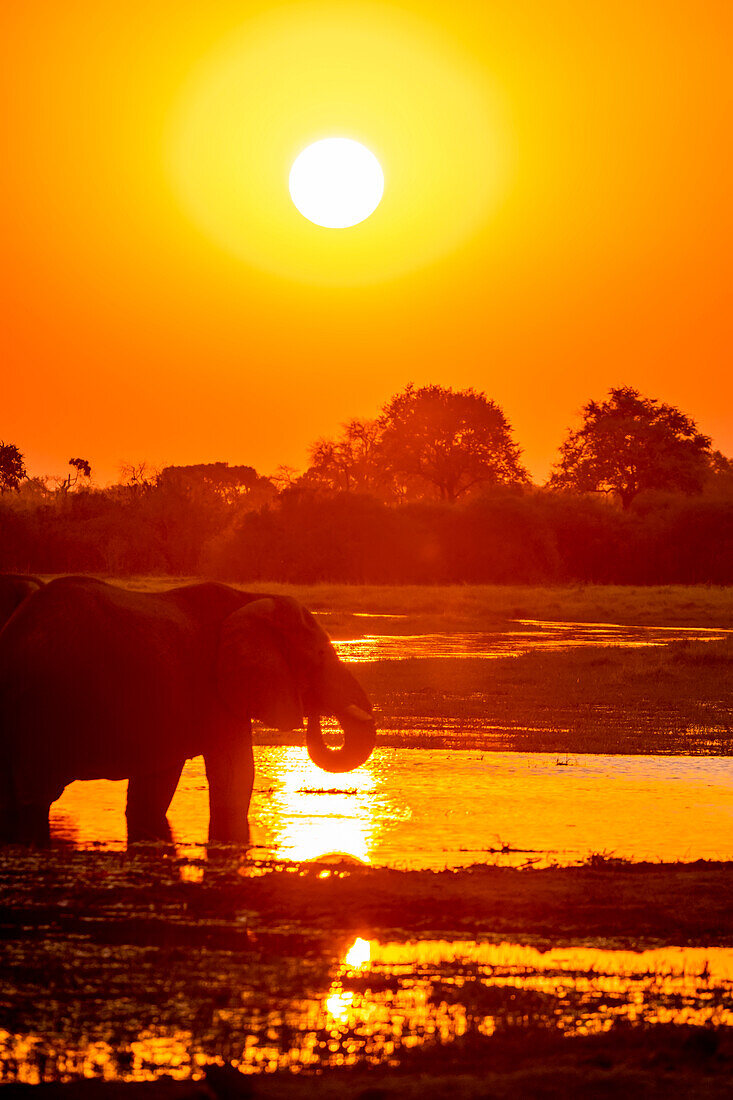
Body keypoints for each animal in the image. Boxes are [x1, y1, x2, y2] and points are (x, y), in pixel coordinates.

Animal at [0, 580, 374, 844]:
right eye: (319, 657)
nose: (316, 713)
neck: (252, 596)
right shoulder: (215, 693)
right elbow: (235, 776)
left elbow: (155, 787)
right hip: (44, 708)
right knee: (34, 797)